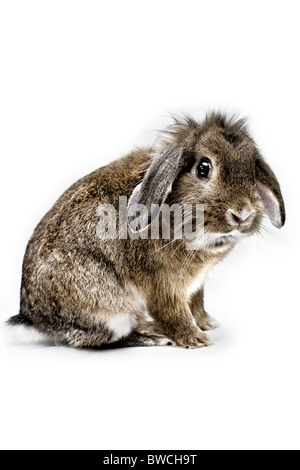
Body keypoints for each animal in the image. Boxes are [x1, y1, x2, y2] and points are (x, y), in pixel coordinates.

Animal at [8, 113, 286, 348]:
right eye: (203, 168)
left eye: (252, 171)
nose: (242, 213)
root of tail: (34, 319)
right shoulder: (163, 286)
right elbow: (173, 313)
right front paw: (196, 339)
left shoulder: (196, 286)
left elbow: (196, 304)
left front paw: (207, 323)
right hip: (110, 308)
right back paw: (153, 335)